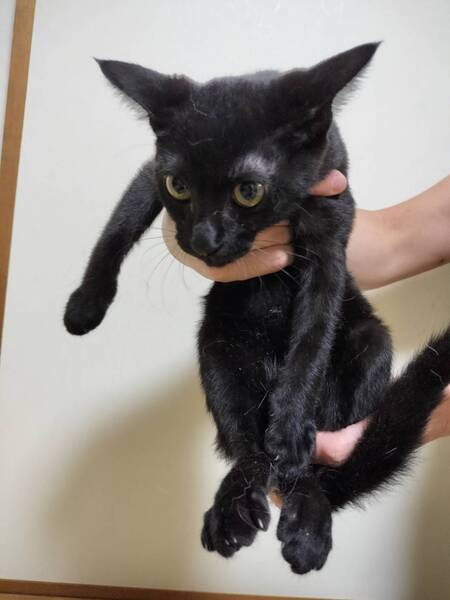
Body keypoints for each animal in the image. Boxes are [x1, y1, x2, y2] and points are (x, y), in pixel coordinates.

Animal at [64, 43, 450, 574]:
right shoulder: (148, 174)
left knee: (306, 467)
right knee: (247, 450)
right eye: (178, 186)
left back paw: (306, 516)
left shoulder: (330, 232)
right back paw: (233, 509)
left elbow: (309, 344)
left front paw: (288, 433)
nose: (202, 240)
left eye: (249, 191)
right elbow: (119, 224)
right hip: (218, 349)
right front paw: (86, 304)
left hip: (370, 343)